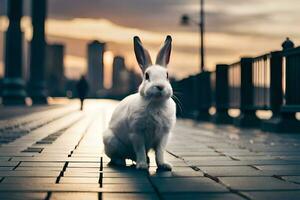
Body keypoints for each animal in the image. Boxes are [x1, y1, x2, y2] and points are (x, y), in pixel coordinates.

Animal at [103, 36, 176, 170]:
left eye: (167, 75)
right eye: (147, 76)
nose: (160, 86)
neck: (156, 102)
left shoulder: (163, 135)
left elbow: (160, 152)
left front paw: (164, 165)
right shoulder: (137, 133)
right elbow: (140, 149)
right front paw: (142, 166)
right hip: (110, 141)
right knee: (118, 157)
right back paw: (123, 162)